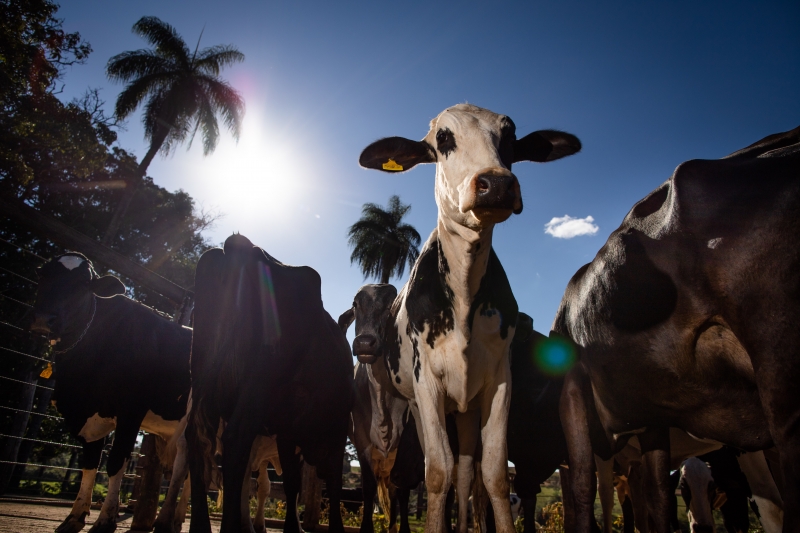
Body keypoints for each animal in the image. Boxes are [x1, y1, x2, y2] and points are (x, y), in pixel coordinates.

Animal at [29, 252, 192, 532]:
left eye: (84, 283)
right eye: (42, 274)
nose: (43, 320)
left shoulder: (131, 411)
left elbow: (116, 460)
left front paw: (105, 520)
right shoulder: (87, 415)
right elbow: (90, 462)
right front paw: (75, 516)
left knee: (185, 465)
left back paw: (166, 519)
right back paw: (175, 518)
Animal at [188, 235, 354, 532]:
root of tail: (238, 245)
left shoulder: (288, 429)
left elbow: (292, 483)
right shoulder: (337, 425)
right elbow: (333, 484)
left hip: (203, 378)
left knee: (196, 441)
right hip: (258, 384)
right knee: (236, 441)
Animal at [360, 103, 580, 532]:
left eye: (510, 137)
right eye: (443, 137)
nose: (496, 184)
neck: (462, 296)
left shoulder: (498, 382)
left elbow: (492, 473)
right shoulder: (427, 384)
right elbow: (435, 473)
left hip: (465, 408)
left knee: (464, 474)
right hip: (422, 406)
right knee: (443, 467)